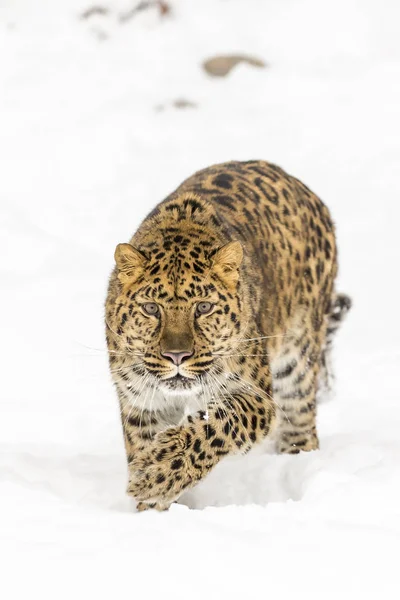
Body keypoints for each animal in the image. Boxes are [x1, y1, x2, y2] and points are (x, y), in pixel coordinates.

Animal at [105, 159, 350, 510]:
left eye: (204, 307)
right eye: (152, 309)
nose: (176, 356)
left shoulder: (257, 397)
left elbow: (217, 425)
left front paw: (155, 473)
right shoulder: (143, 403)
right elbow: (144, 442)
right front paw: (152, 506)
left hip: (297, 362)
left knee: (301, 421)